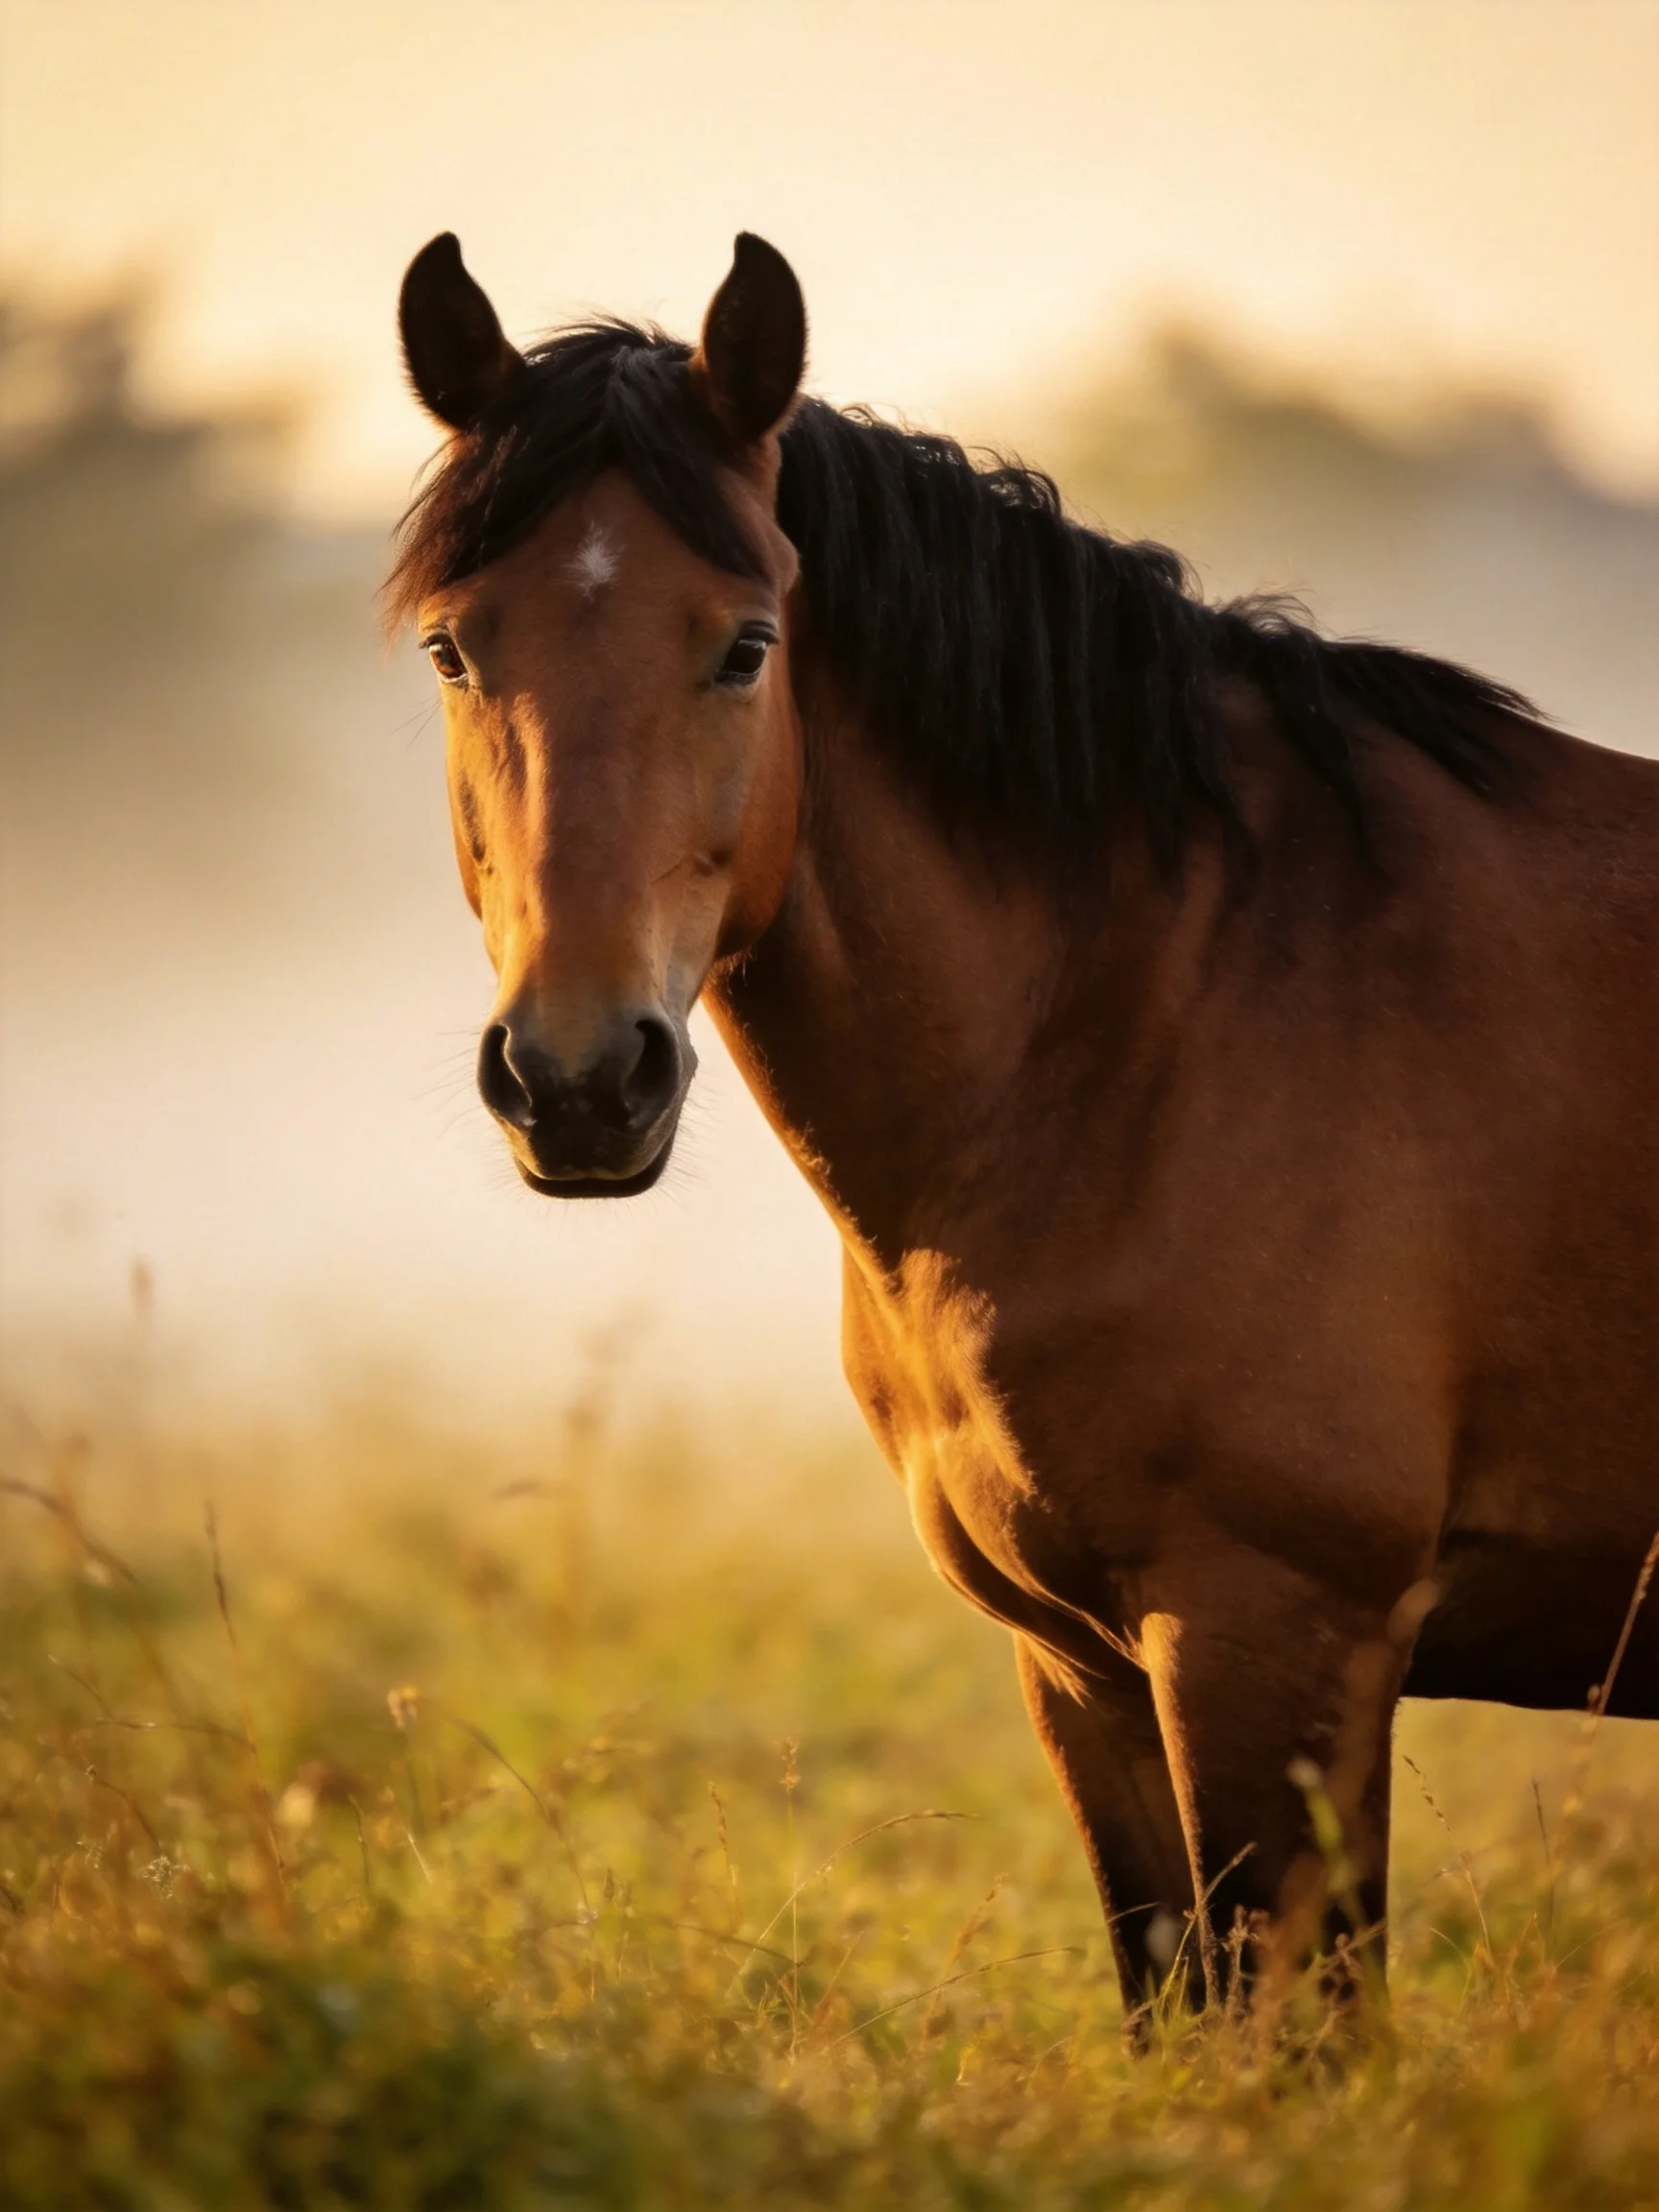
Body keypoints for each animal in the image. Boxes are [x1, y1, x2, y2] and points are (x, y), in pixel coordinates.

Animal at [388, 230, 1659, 2019]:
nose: (577, 1077)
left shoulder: (1281, 1641)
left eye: (745, 642)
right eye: (454, 649)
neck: (1151, 1026)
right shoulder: (1081, 1664)